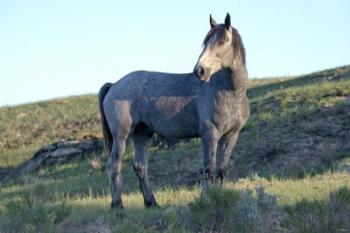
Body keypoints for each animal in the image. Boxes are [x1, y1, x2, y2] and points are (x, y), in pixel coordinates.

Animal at [98, 13, 249, 208]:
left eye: (223, 41)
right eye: (206, 42)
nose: (200, 70)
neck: (228, 91)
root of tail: (114, 85)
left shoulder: (231, 135)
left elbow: (221, 170)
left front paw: (219, 197)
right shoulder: (210, 134)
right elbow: (209, 168)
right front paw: (207, 198)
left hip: (142, 134)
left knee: (140, 166)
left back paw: (151, 203)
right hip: (121, 136)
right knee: (114, 165)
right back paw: (118, 206)